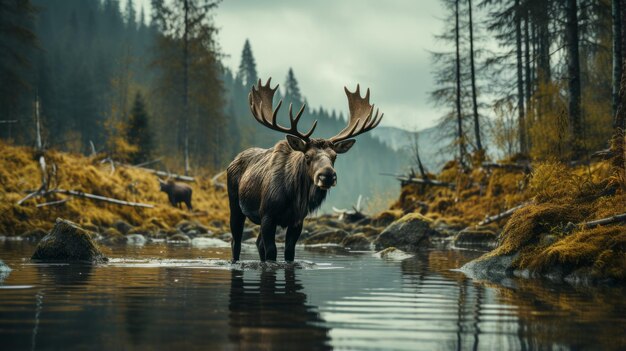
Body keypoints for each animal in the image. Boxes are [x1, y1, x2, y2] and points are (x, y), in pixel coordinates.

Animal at [224, 79, 380, 262]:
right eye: (307, 156)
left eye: (334, 156)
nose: (327, 176)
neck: (293, 197)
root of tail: (233, 161)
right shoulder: (268, 215)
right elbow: (271, 252)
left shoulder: (297, 221)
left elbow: (289, 252)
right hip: (235, 205)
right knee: (236, 242)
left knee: (257, 243)